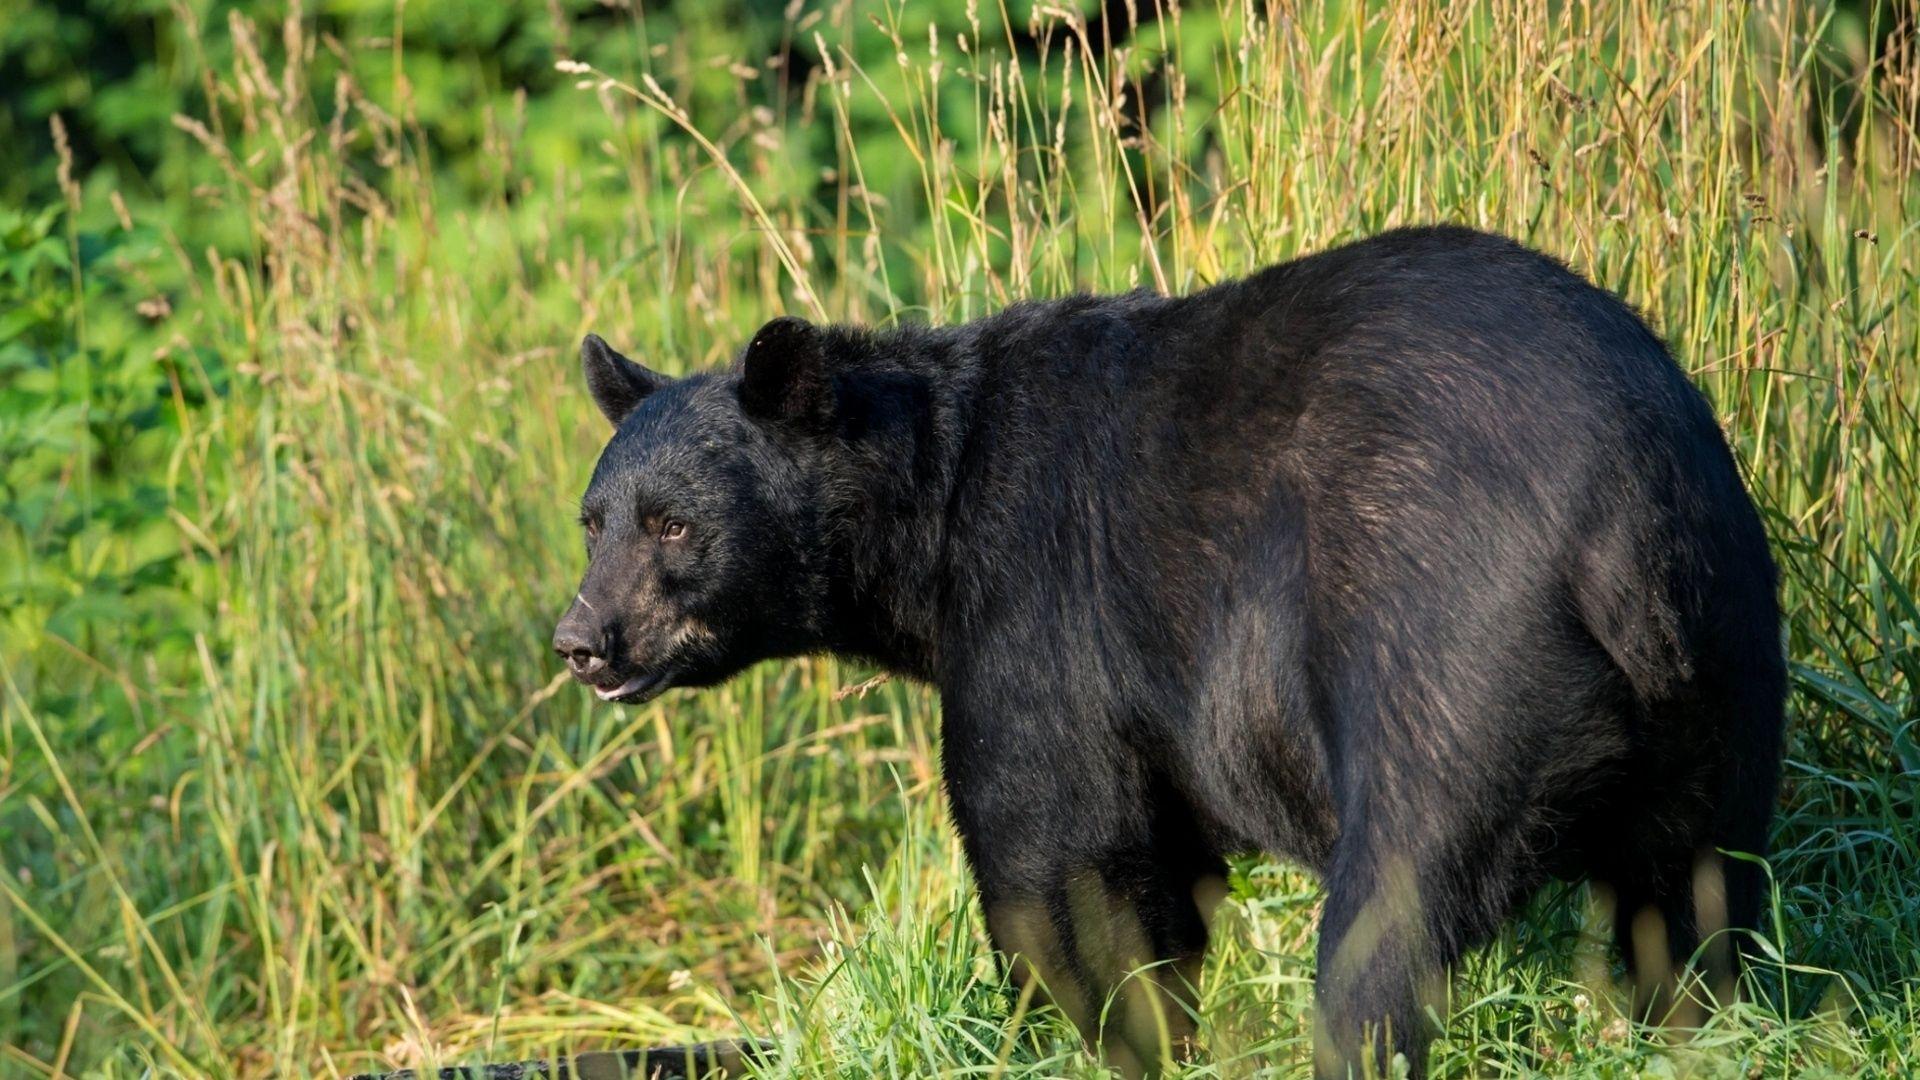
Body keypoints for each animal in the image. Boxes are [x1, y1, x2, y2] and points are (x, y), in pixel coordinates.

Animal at [549, 225, 1786, 1079]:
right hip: (1721, 675)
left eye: (673, 524)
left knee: (1391, 911)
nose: (581, 640)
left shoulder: (1039, 603)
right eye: (594, 519)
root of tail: (1617, 520)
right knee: (1691, 901)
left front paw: (1078, 1032)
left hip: (1442, 654)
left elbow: (1058, 853)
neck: (929, 514)